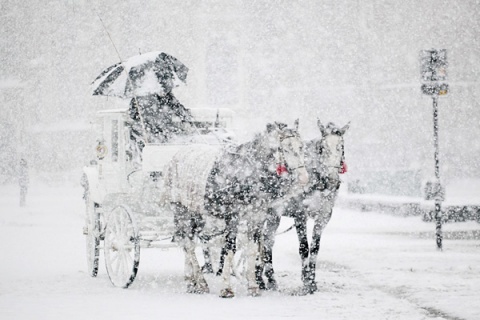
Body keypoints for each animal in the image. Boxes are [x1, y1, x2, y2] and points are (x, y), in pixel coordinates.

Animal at [256, 119, 346, 296]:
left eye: (341, 147)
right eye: (322, 148)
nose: (332, 180)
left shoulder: (323, 216)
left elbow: (315, 248)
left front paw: (312, 280)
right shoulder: (300, 214)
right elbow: (304, 247)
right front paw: (306, 283)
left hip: (274, 215)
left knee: (267, 240)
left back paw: (267, 279)